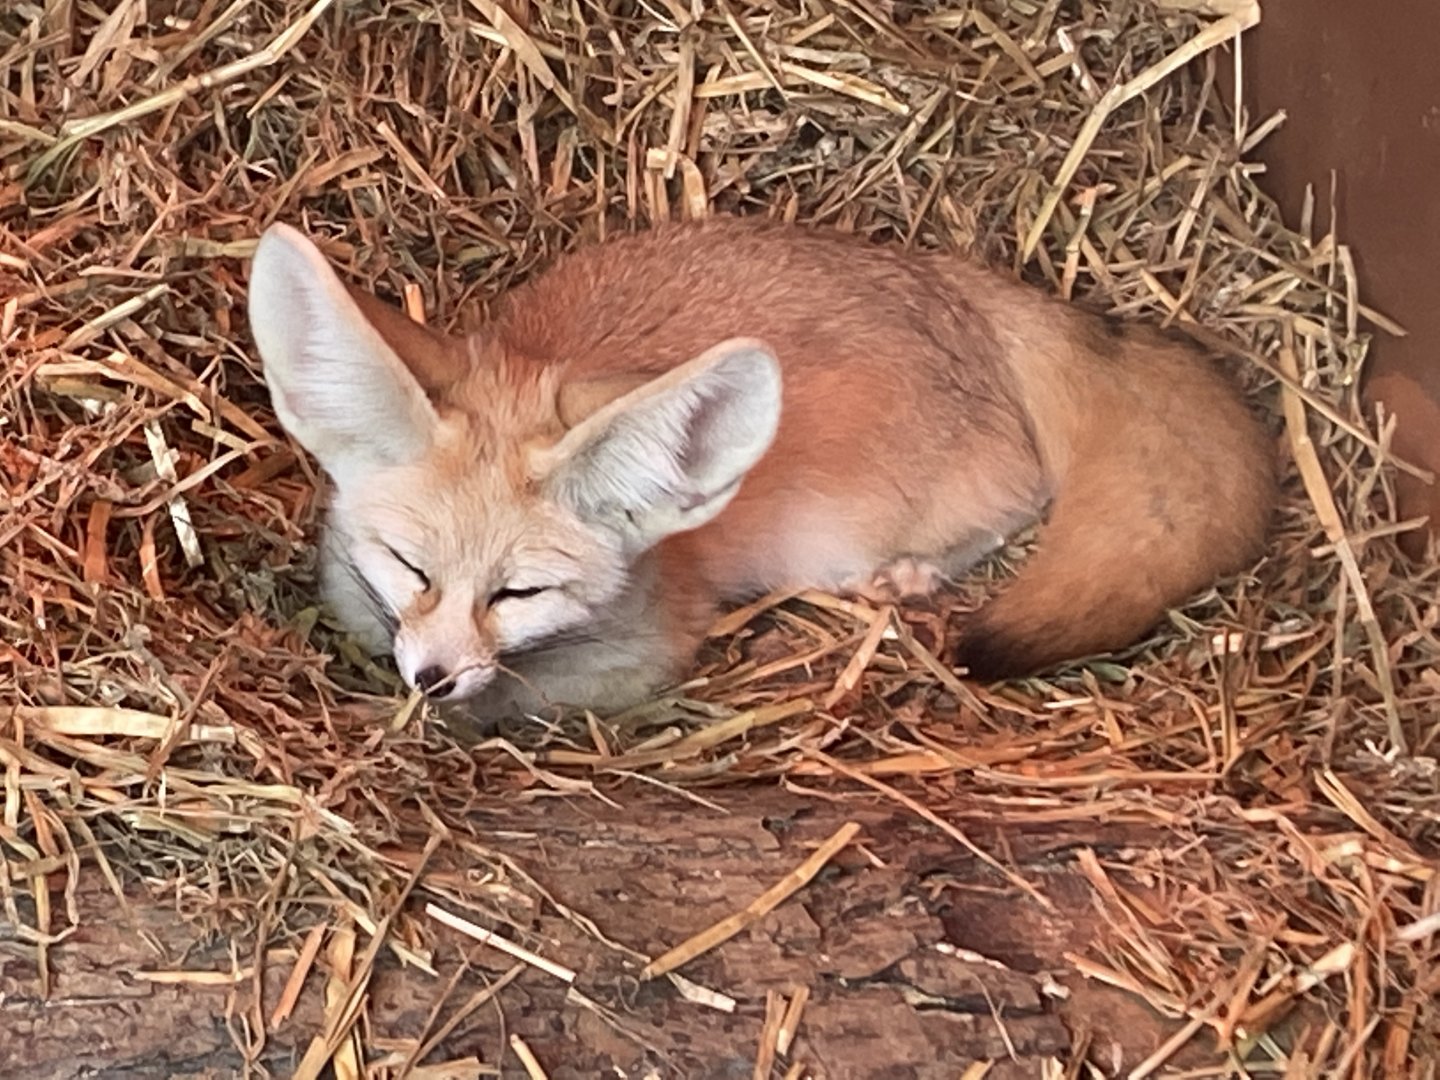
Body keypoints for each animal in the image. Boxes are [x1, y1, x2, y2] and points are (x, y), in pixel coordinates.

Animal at [246, 215, 1276, 719]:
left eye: (521, 593)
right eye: (409, 566)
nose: (429, 679)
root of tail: (959, 285)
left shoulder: (642, 660)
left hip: (846, 533)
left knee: (1018, 498)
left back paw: (907, 578)